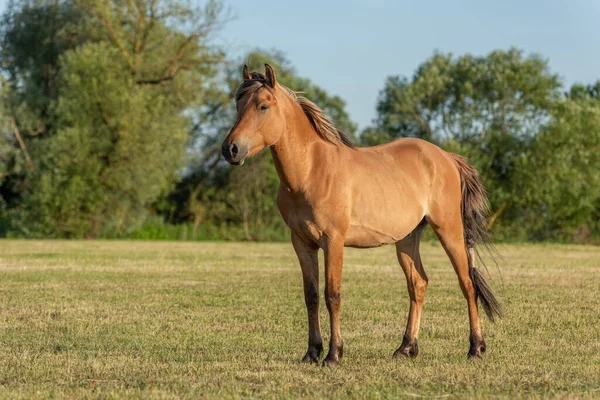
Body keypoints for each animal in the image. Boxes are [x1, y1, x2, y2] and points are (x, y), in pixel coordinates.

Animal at [220, 64, 502, 368]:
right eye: (238, 106)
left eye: (263, 106)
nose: (230, 149)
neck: (311, 170)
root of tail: (446, 157)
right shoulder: (302, 243)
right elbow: (311, 296)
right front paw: (312, 352)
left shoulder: (333, 241)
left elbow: (332, 295)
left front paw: (334, 354)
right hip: (407, 239)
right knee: (418, 284)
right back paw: (406, 348)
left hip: (448, 230)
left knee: (467, 284)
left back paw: (475, 347)